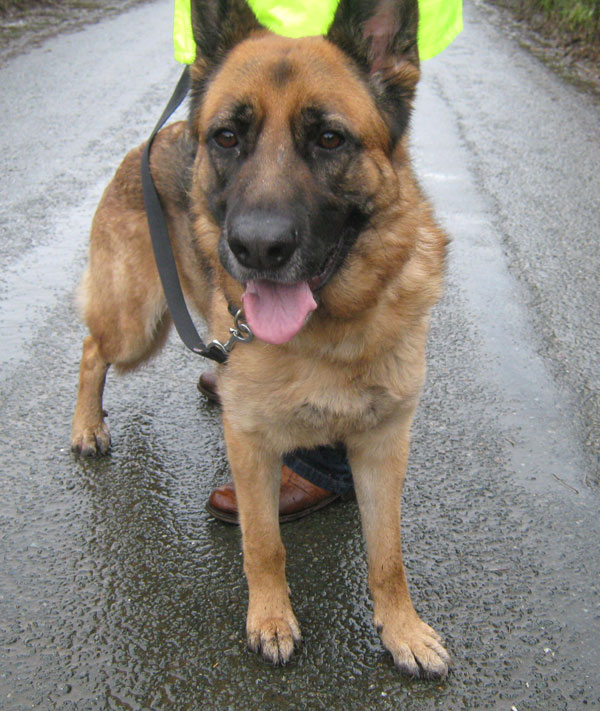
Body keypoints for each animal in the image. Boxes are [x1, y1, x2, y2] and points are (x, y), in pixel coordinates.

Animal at [72, 0, 450, 680]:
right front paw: (271, 619)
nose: (257, 248)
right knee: (92, 351)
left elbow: (388, 555)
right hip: (137, 322)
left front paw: (402, 630)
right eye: (228, 137)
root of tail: (152, 141)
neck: (330, 336)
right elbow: (264, 543)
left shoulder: (383, 445)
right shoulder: (251, 444)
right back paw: (88, 426)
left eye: (329, 139)